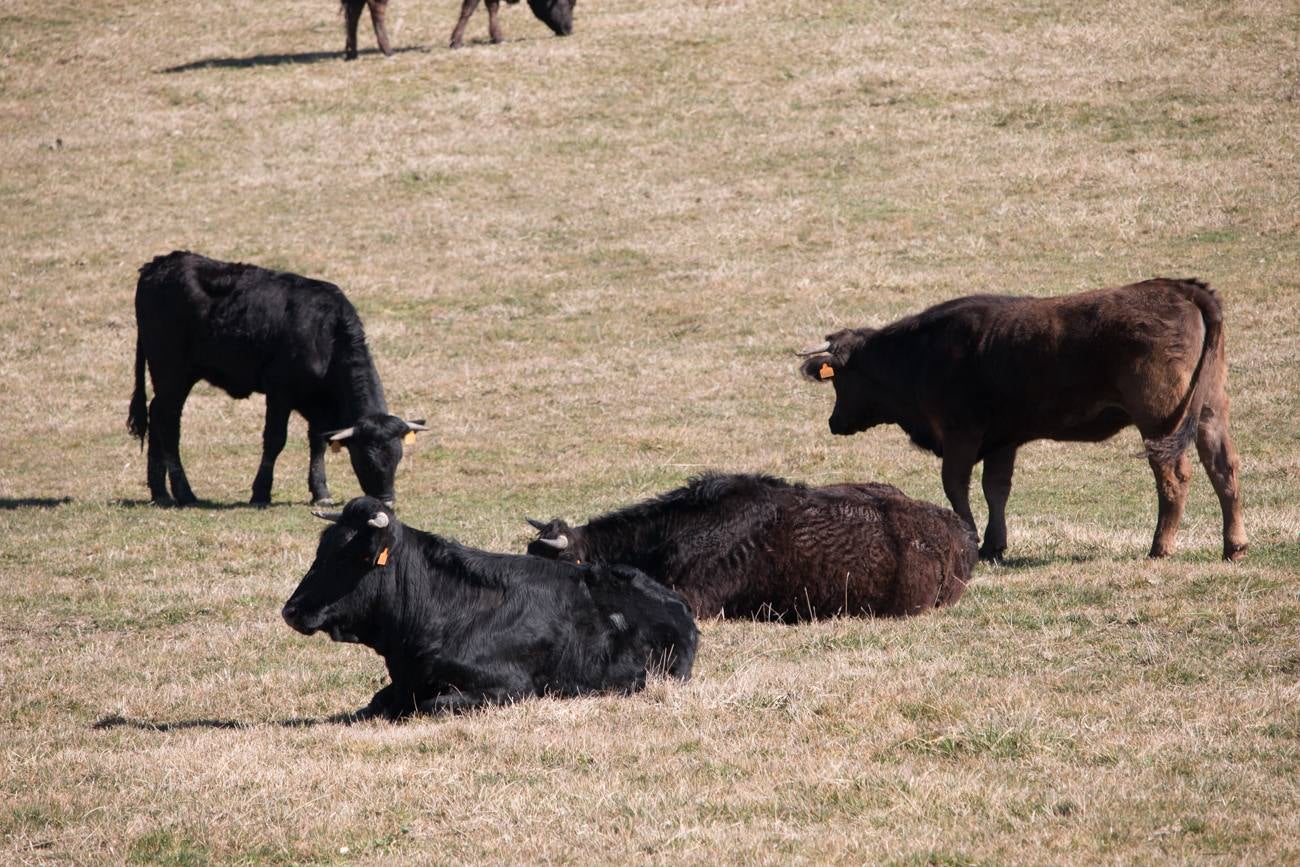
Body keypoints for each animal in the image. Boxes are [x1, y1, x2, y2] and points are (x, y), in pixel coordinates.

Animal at [126, 250, 423, 509]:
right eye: (365, 459)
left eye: (398, 457)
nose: (386, 502)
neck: (326, 334)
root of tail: (158, 264)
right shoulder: (280, 392)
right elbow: (275, 439)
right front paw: (260, 493)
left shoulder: (316, 403)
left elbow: (317, 442)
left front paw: (321, 492)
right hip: (173, 374)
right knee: (168, 423)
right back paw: (183, 493)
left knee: (157, 415)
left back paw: (160, 493)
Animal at [279, 493, 696, 717]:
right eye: (321, 549)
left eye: (349, 556)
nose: (291, 610)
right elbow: (376, 702)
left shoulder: (509, 687)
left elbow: (433, 705)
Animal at [795, 278, 1242, 564]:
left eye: (841, 380)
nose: (834, 422)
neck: (919, 354)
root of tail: (1180, 288)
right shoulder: (1002, 440)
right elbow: (997, 489)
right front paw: (994, 545)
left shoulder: (960, 435)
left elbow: (956, 486)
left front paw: (973, 539)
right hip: (1209, 412)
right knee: (1223, 469)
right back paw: (1233, 546)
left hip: (1159, 422)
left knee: (1174, 477)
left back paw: (1159, 548)